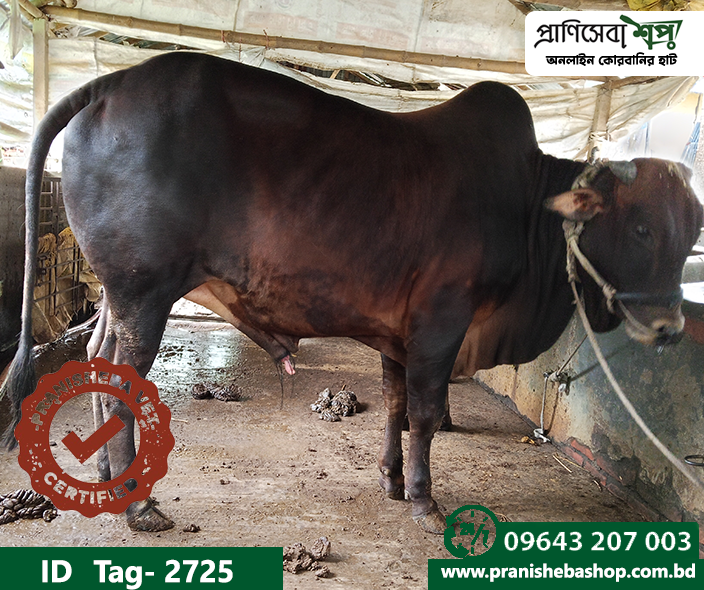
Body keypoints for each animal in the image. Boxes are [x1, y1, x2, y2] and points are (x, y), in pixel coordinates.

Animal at [1, 52, 701, 534]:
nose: (670, 327)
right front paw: (424, 500)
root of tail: (113, 83)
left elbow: (394, 406)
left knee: (97, 361)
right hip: (146, 292)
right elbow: (425, 414)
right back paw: (139, 503)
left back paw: (105, 476)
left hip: (121, 296)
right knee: (122, 377)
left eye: (693, 228)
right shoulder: (442, 322)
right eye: (640, 226)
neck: (530, 206)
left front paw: (391, 479)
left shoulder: (399, 333)